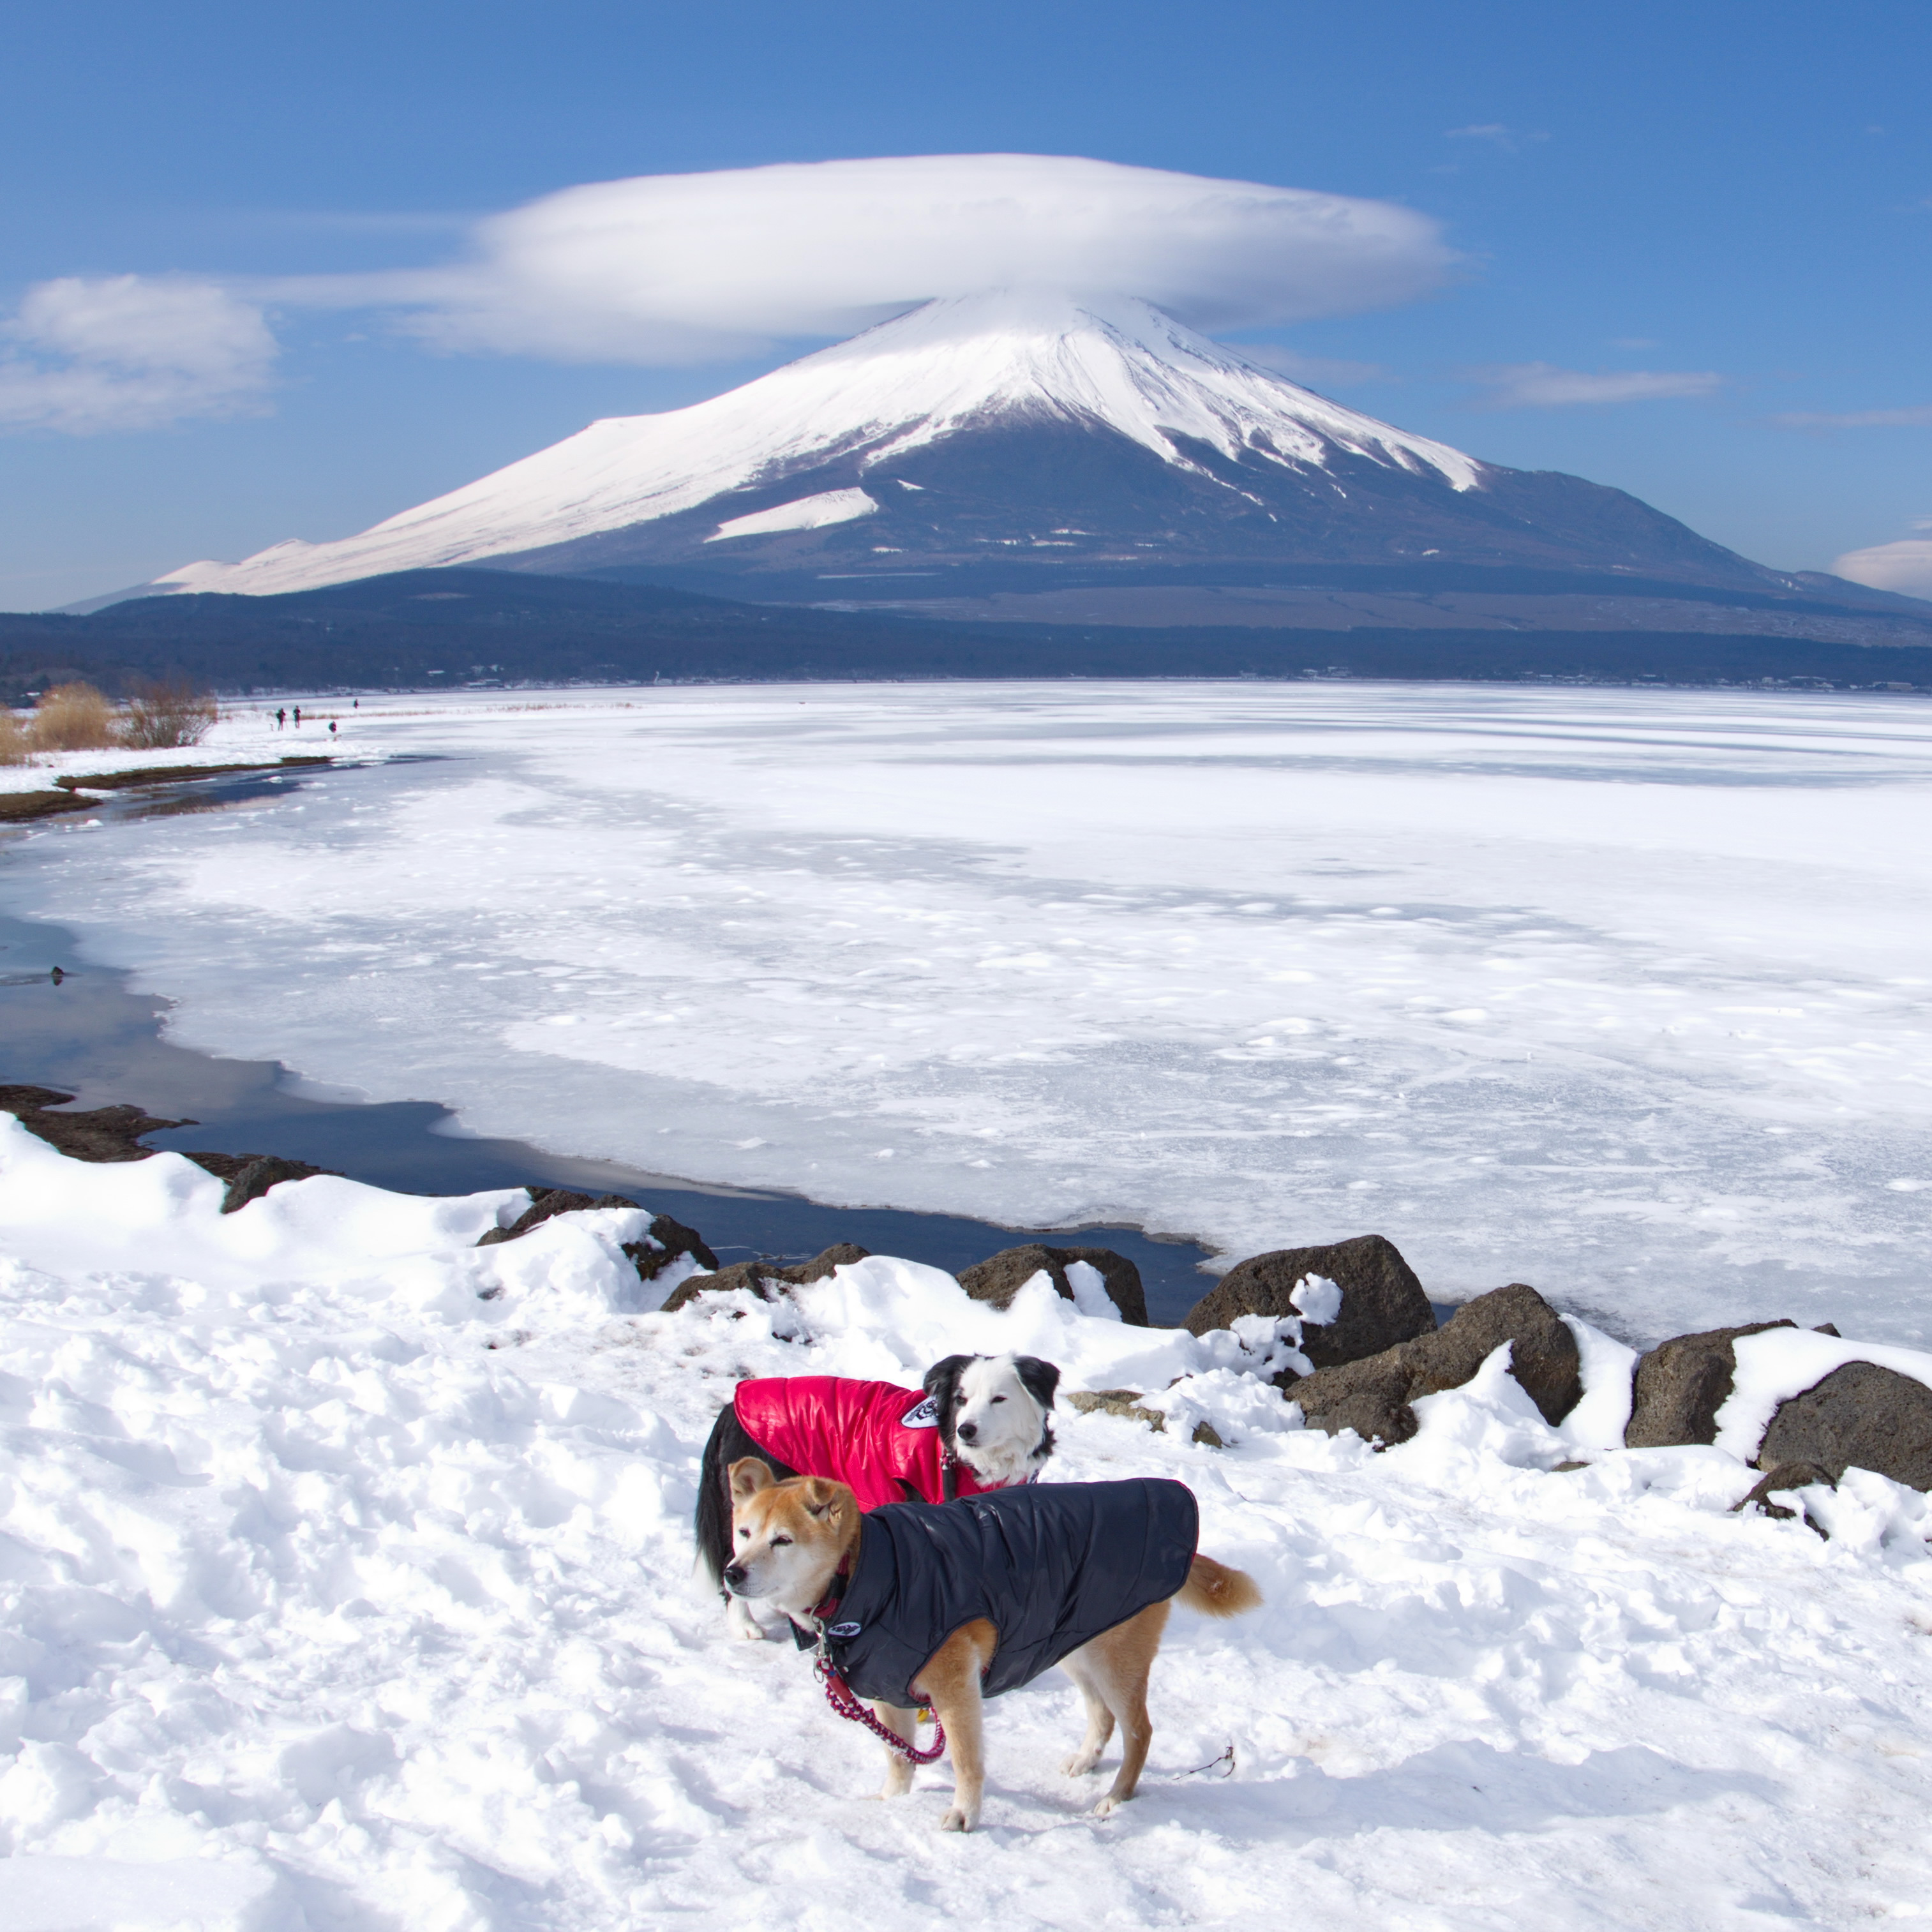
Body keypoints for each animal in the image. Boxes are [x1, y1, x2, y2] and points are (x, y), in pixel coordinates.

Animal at [695, 1360, 1058, 1630]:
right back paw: (745, 1624)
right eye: (961, 1399)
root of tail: (732, 1405)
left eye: (999, 1399)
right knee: (732, 1560)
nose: (965, 1430)